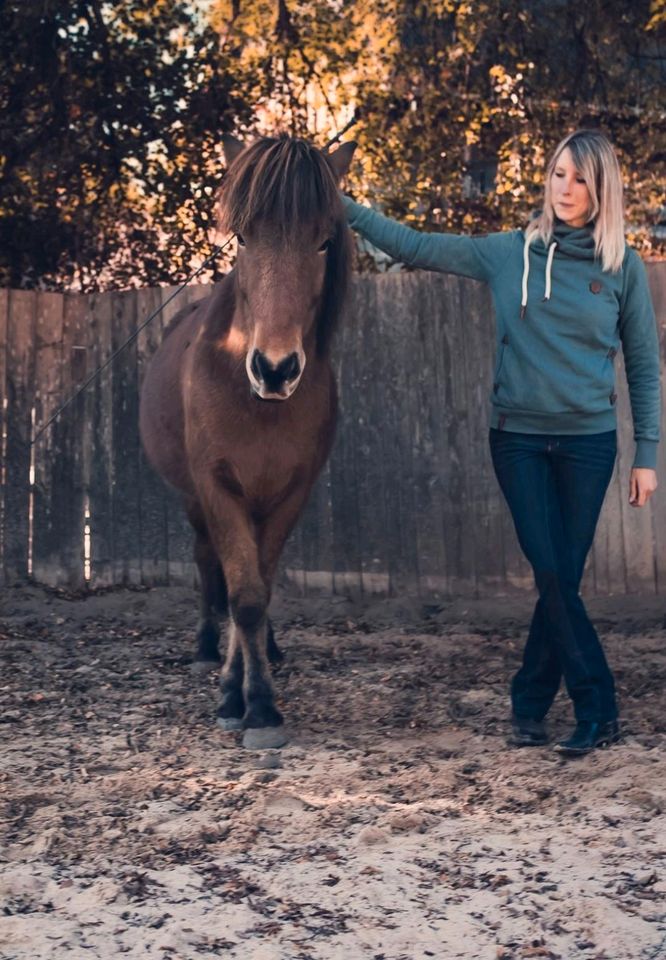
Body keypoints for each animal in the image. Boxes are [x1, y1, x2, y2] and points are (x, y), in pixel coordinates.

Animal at [139, 135, 356, 752]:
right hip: (193, 502)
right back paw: (203, 648)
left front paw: (251, 696)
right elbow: (241, 595)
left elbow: (258, 592)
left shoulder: (289, 494)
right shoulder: (217, 489)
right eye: (243, 237)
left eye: (324, 240)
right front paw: (243, 699)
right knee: (207, 565)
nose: (276, 369)